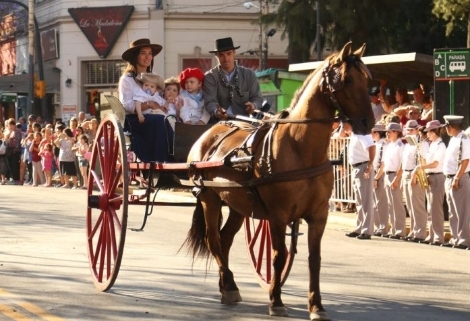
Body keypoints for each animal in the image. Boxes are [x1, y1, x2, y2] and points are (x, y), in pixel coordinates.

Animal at [182, 42, 372, 320]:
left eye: (367, 80)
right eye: (347, 79)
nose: (368, 122)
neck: (300, 146)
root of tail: (208, 135)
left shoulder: (318, 215)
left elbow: (314, 259)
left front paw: (316, 306)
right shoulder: (278, 215)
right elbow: (278, 256)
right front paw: (276, 301)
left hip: (238, 205)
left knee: (225, 239)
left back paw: (227, 285)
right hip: (210, 198)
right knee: (213, 240)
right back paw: (229, 285)